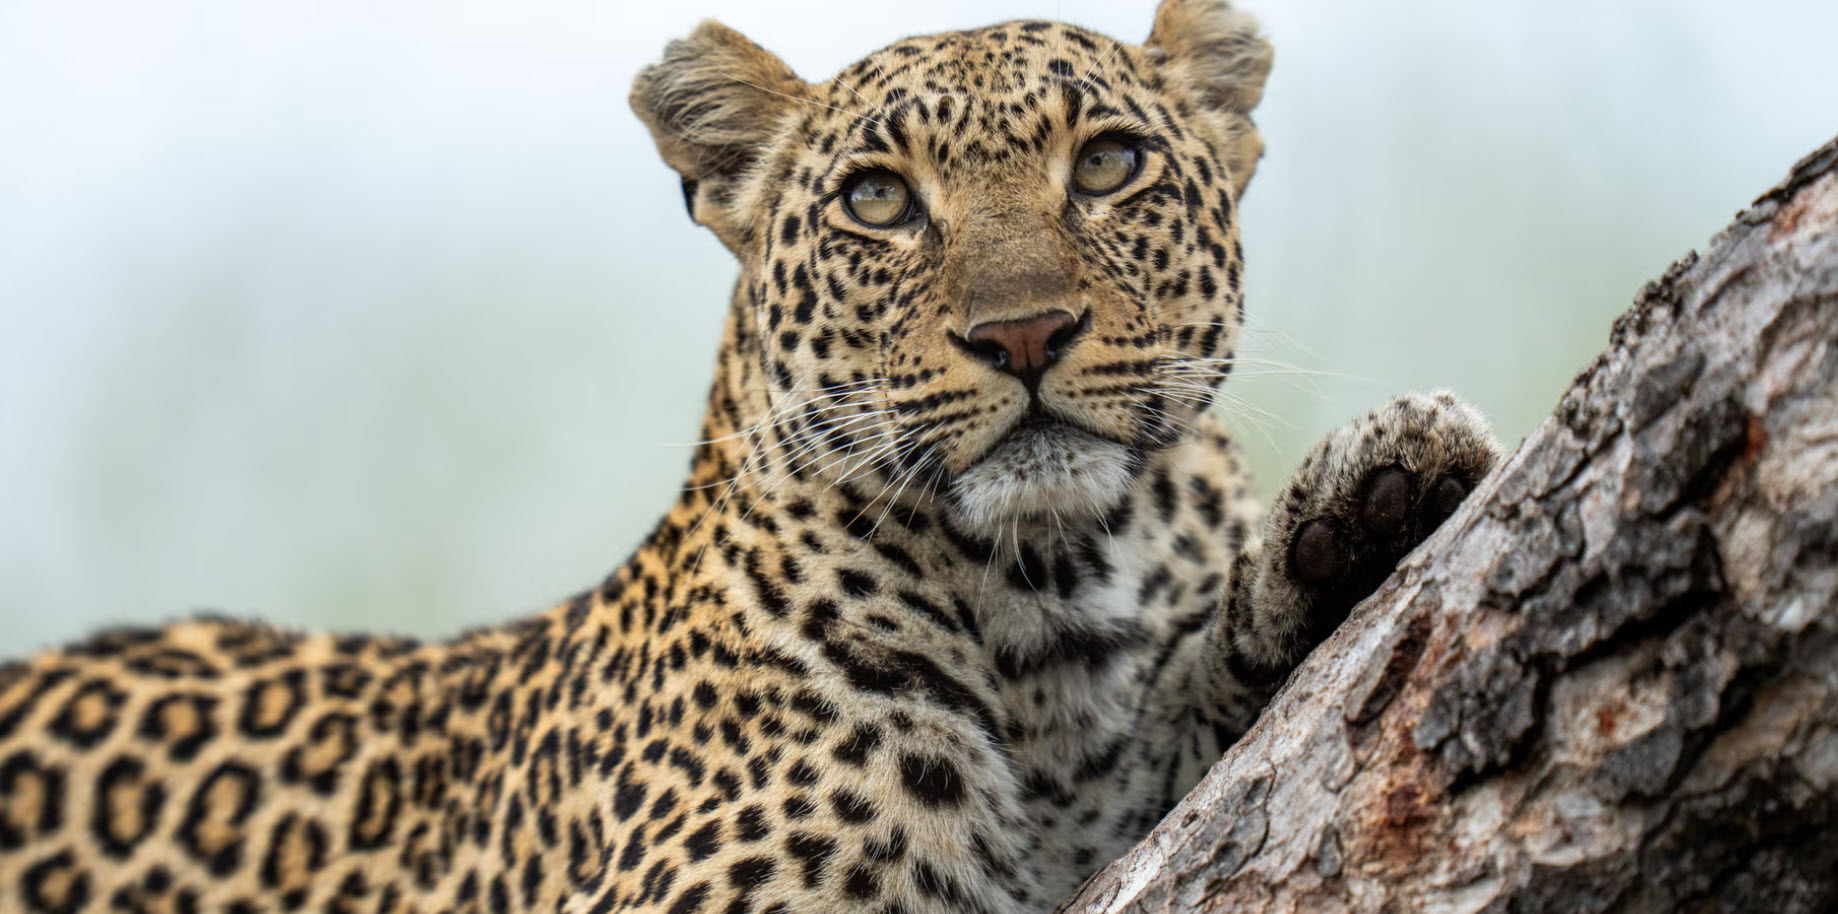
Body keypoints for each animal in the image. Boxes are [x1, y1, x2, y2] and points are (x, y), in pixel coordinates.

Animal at [0, 2, 1502, 912]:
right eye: (878, 201)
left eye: (1108, 163)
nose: (1022, 332)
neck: (1047, 602)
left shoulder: (1120, 798)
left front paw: (1366, 494)